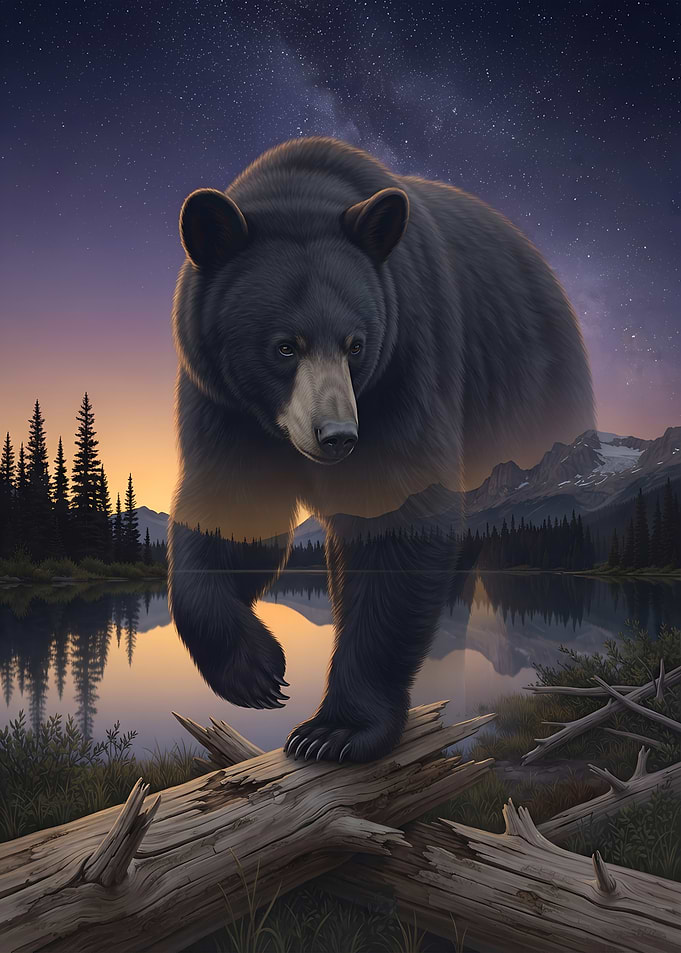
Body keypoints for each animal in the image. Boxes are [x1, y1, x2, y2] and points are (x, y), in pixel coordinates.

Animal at [168, 136, 594, 763]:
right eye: (285, 346)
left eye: (356, 343)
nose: (339, 435)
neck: (302, 191)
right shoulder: (222, 400)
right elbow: (230, 511)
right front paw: (256, 670)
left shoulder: (410, 358)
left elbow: (398, 514)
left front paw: (335, 730)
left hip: (533, 396)